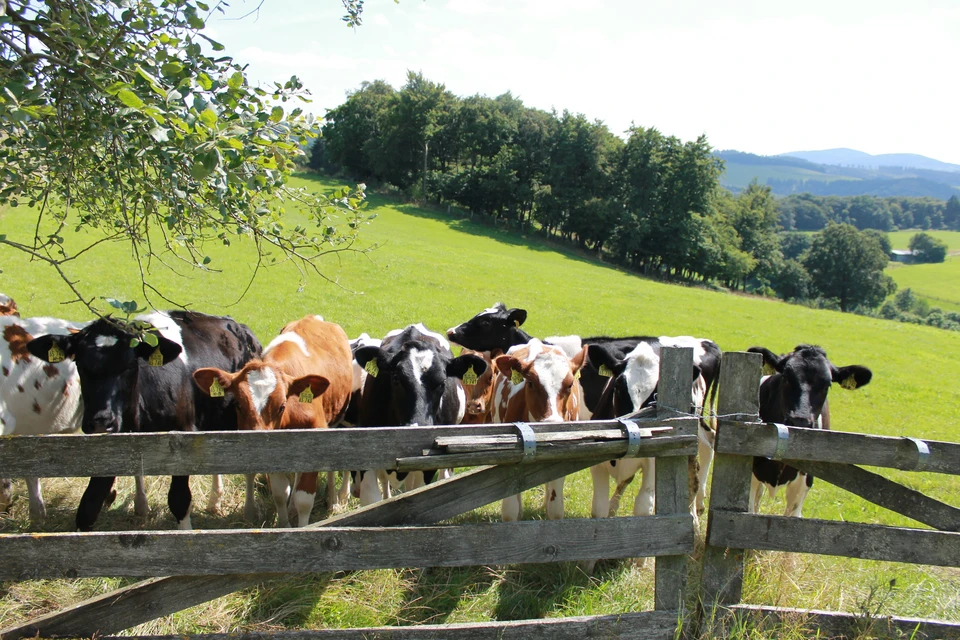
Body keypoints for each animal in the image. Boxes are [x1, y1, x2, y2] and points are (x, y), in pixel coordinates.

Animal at [26, 311, 261, 531]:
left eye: (130, 365)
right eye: (80, 364)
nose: (102, 420)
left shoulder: (183, 435)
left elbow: (179, 500)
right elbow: (89, 505)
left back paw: (249, 511)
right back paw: (214, 502)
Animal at [193, 316, 352, 527]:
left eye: (281, 406)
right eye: (238, 404)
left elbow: (304, 499)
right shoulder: (275, 448)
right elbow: (279, 491)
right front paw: (283, 524)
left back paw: (333, 501)